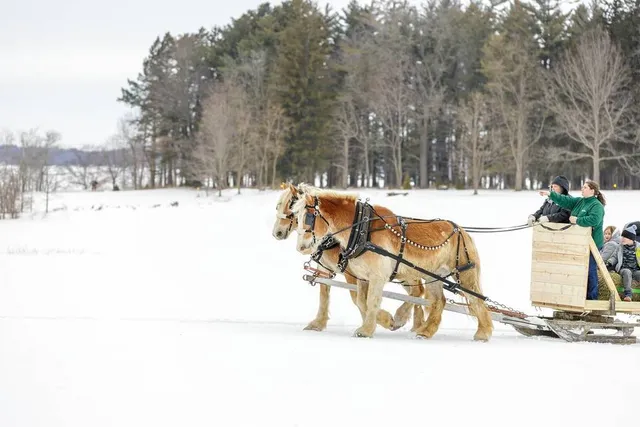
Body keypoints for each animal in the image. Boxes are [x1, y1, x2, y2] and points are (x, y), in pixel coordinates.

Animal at [272, 183, 424, 332]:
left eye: (291, 207)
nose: (276, 233)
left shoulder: (352, 272)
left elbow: (359, 299)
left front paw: (382, 320)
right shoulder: (324, 268)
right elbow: (324, 294)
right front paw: (318, 323)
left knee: (418, 290)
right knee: (417, 291)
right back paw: (418, 325)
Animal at [292, 184, 493, 341]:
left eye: (308, 216)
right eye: (296, 217)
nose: (301, 247)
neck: (362, 229)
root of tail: (463, 231)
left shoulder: (377, 276)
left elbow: (371, 301)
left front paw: (369, 329)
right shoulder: (362, 277)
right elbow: (361, 301)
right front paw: (384, 321)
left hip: (464, 272)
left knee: (476, 299)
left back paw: (483, 333)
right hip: (435, 276)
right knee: (438, 301)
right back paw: (425, 332)